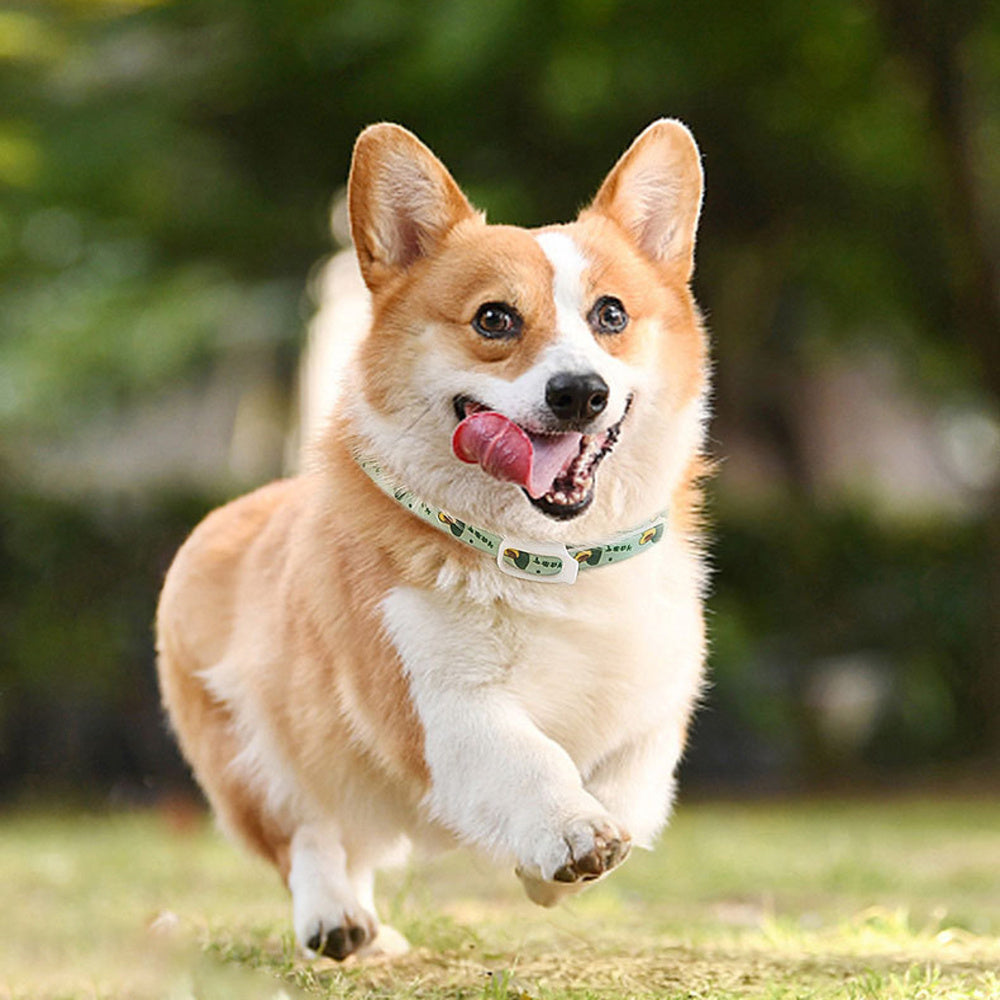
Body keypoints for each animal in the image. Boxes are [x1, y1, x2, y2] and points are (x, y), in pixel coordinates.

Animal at [156, 119, 708, 960]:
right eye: (494, 319)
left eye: (611, 315)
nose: (581, 392)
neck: (551, 561)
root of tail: (227, 515)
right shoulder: (440, 706)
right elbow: (530, 759)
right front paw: (571, 832)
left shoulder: (656, 700)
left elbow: (633, 784)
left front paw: (552, 872)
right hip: (253, 759)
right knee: (310, 836)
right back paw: (337, 919)